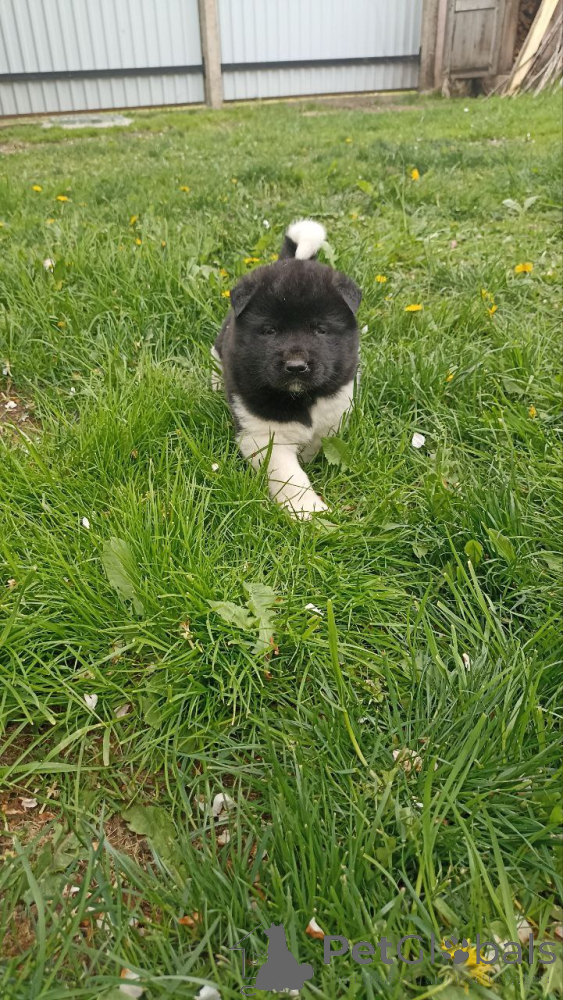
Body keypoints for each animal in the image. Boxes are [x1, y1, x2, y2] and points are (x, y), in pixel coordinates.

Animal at [212, 219, 362, 519]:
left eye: (320, 329)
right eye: (270, 330)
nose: (295, 367)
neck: (301, 398)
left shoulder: (335, 413)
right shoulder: (263, 436)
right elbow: (290, 477)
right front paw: (311, 513)